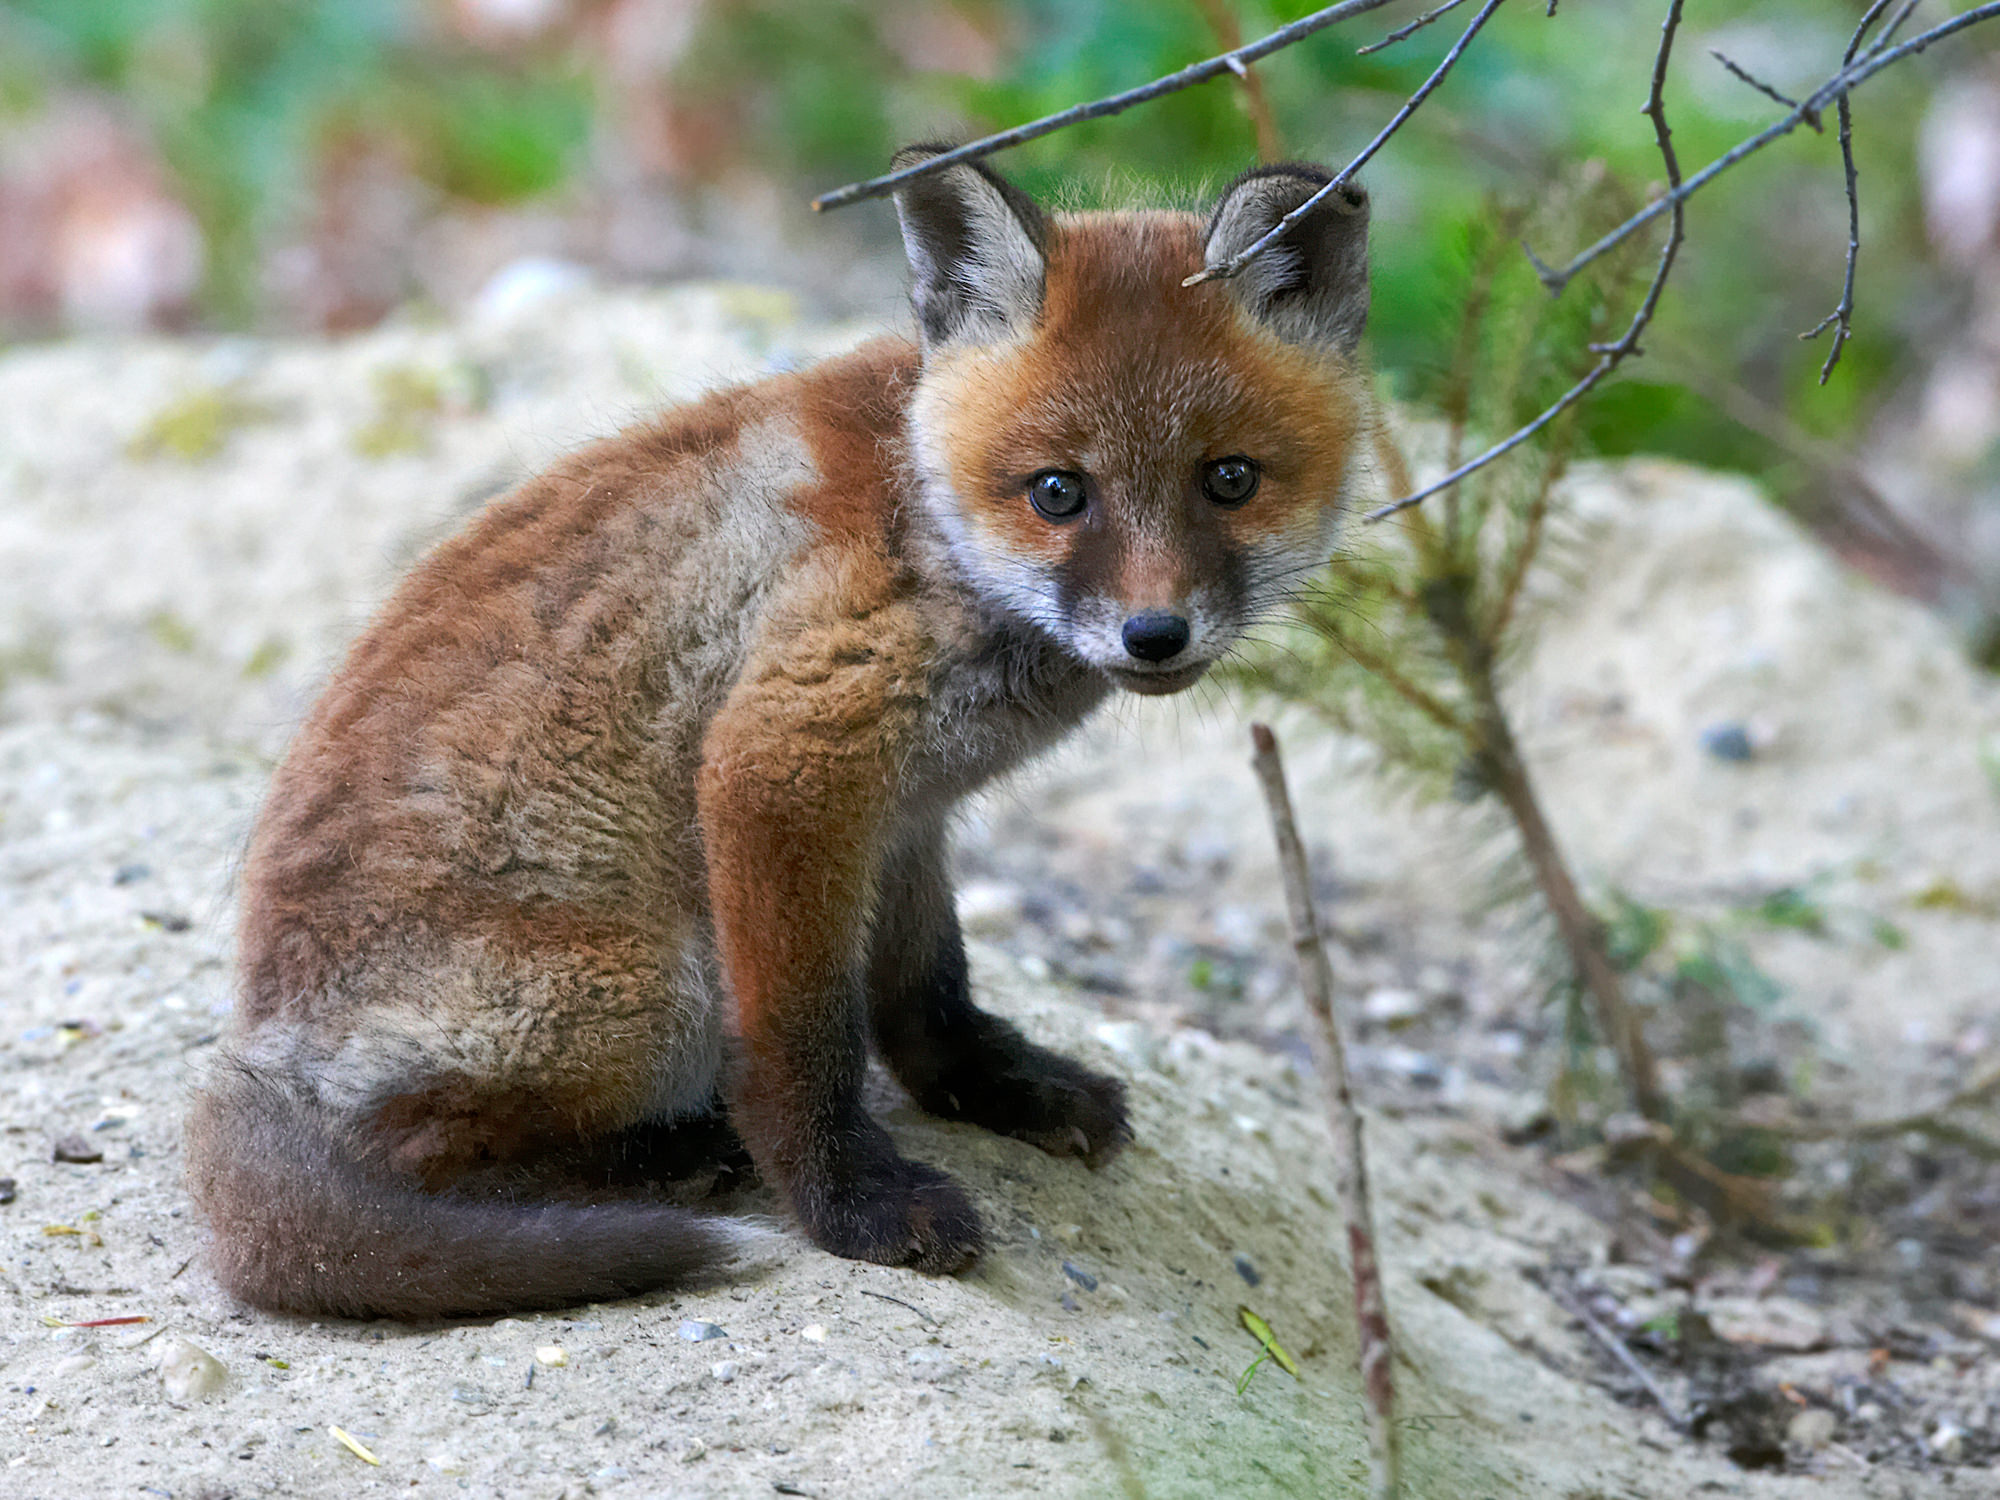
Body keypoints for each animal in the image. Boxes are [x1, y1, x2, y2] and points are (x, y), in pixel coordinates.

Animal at [185, 146, 1376, 1320]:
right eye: (1057, 492)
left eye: (1228, 480)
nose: (1153, 634)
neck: (927, 518)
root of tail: (258, 1051)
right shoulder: (786, 757)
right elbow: (806, 1041)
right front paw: (849, 1203)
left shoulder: (905, 810)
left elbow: (927, 990)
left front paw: (996, 1087)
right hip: (653, 991)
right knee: (412, 1153)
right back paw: (667, 1158)